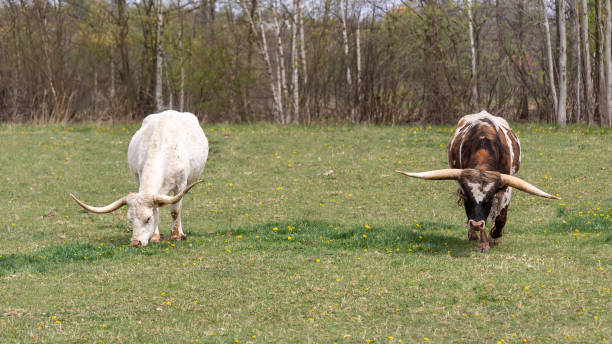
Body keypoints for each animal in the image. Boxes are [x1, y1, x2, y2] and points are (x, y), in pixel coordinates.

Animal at [71, 109, 208, 246]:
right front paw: (155, 236)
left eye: (148, 218)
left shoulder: (181, 184)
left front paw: (175, 236)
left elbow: (175, 211)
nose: (135, 242)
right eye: (130, 220)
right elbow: (157, 210)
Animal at [396, 111, 560, 253]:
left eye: (488, 200)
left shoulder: (506, 188)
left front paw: (495, 234)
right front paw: (482, 242)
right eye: (467, 198)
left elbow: (501, 216)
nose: (475, 224)